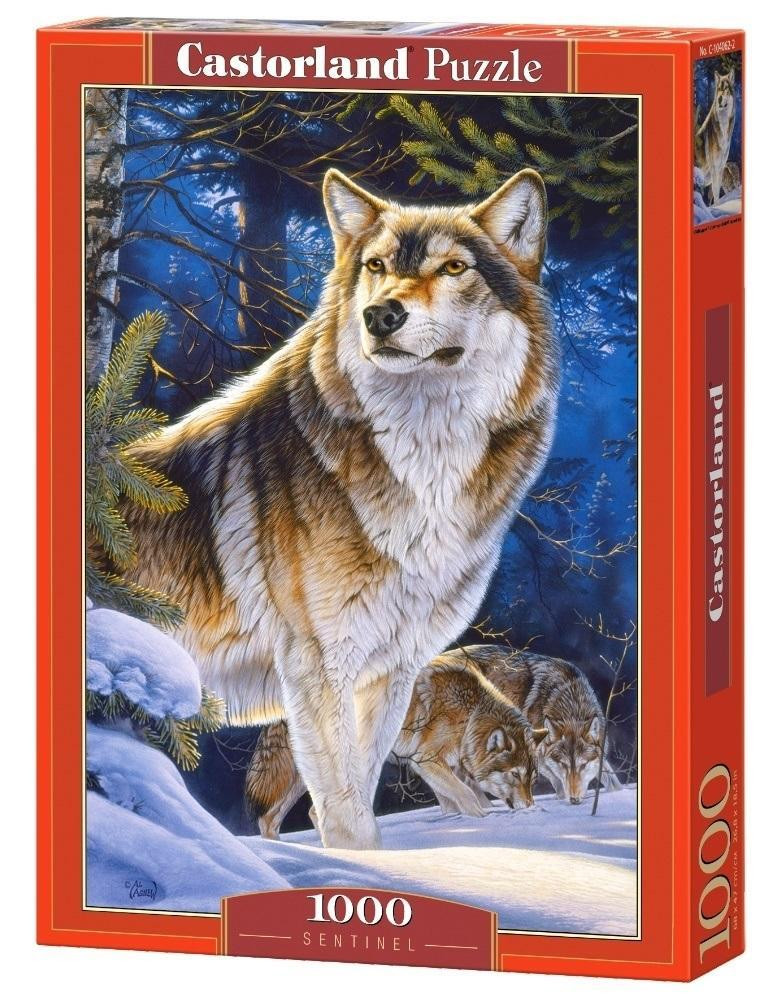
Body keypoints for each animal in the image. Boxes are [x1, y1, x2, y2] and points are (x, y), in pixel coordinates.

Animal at [245, 650, 548, 839]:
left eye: (532, 778)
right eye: (515, 774)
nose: (530, 806)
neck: (469, 714)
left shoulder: (444, 768)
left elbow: (456, 800)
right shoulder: (426, 761)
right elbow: (466, 796)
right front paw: (481, 820)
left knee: (270, 818)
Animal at [461, 645, 622, 804]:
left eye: (583, 765)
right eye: (563, 765)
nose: (574, 800)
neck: (571, 706)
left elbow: (612, 779)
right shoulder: (539, 756)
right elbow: (558, 782)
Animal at [695, 65, 737, 206]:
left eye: (725, 89)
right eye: (718, 89)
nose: (719, 100)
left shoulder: (720, 168)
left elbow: (717, 194)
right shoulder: (714, 169)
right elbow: (716, 195)